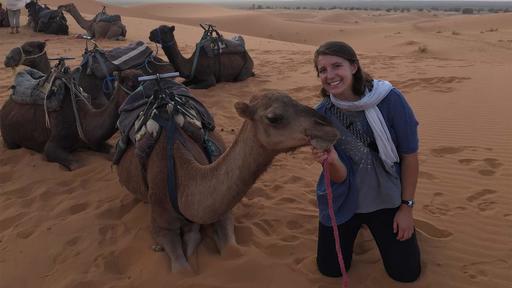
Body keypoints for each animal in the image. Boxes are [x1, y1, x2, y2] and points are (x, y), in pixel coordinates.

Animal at [0, 61, 140, 170]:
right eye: (130, 84)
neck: (82, 120)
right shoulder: (52, 145)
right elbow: (76, 165)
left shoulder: (92, 140)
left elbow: (111, 151)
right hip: (9, 139)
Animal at [116, 84, 340, 272]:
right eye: (274, 117)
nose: (329, 127)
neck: (183, 181)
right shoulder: (161, 223)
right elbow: (182, 270)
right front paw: (165, 248)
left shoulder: (222, 212)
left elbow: (229, 249)